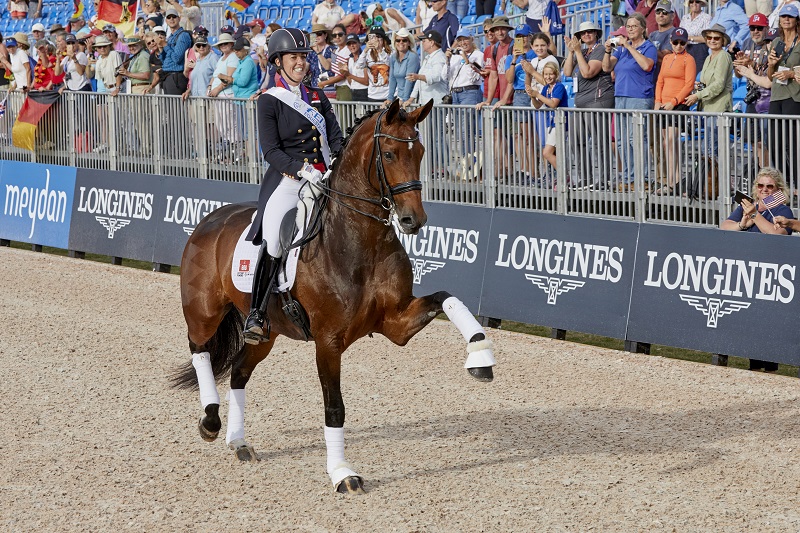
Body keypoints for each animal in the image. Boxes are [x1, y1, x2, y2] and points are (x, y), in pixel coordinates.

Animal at [172, 99, 496, 494]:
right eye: (389, 153)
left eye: (419, 152)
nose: (413, 220)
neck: (361, 241)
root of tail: (211, 219)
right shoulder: (328, 341)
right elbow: (335, 407)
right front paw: (343, 474)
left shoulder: (397, 322)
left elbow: (446, 296)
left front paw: (480, 355)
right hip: (204, 311)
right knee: (200, 350)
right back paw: (210, 422)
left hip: (267, 332)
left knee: (238, 370)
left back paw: (239, 442)